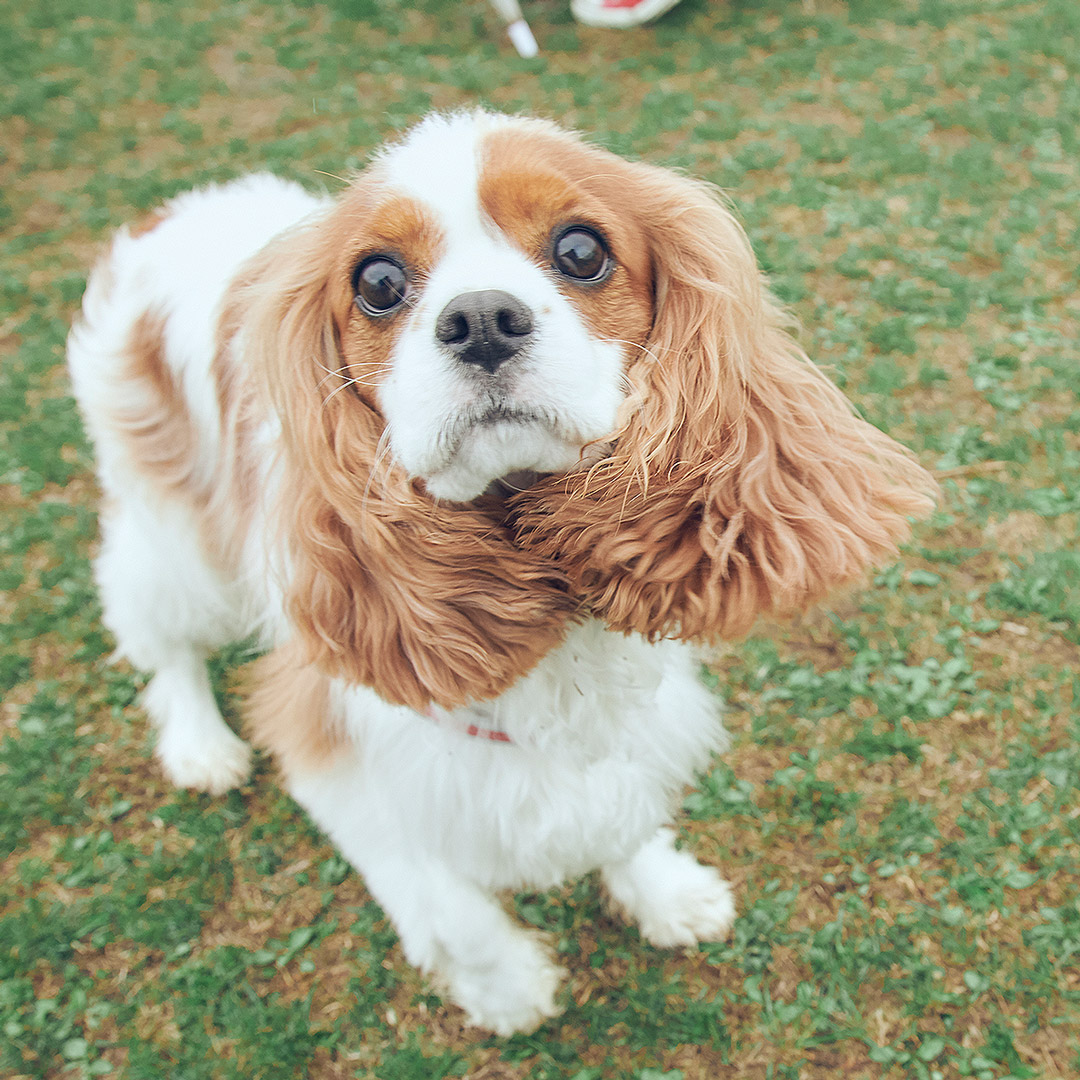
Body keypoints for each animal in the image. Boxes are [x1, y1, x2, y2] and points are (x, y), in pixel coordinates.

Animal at [65, 111, 937, 1036]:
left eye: (582, 250)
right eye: (378, 282)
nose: (481, 318)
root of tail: (179, 210)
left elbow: (623, 811)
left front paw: (663, 893)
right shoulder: (338, 742)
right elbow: (452, 909)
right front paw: (508, 990)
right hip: (173, 528)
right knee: (159, 633)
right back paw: (199, 744)